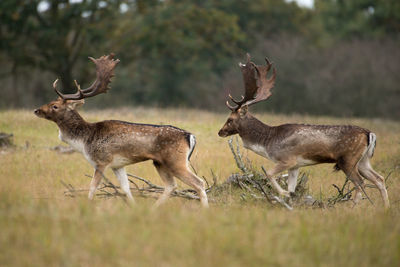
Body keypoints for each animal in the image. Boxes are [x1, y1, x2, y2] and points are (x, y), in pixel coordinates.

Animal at [34, 54, 209, 208]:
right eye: (50, 102)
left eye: (55, 106)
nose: (37, 110)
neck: (84, 141)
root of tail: (191, 136)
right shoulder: (117, 165)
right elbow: (126, 189)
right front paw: (133, 208)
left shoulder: (102, 160)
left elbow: (92, 187)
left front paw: (88, 206)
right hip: (160, 162)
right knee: (171, 185)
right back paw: (153, 210)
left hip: (176, 160)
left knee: (199, 183)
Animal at [219, 53, 390, 210]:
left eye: (230, 119)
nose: (220, 132)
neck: (268, 142)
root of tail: (370, 134)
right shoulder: (295, 166)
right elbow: (292, 186)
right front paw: (289, 199)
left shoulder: (287, 159)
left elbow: (268, 173)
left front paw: (284, 194)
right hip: (362, 160)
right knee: (379, 178)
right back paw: (386, 207)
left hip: (348, 159)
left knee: (360, 183)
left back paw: (354, 208)